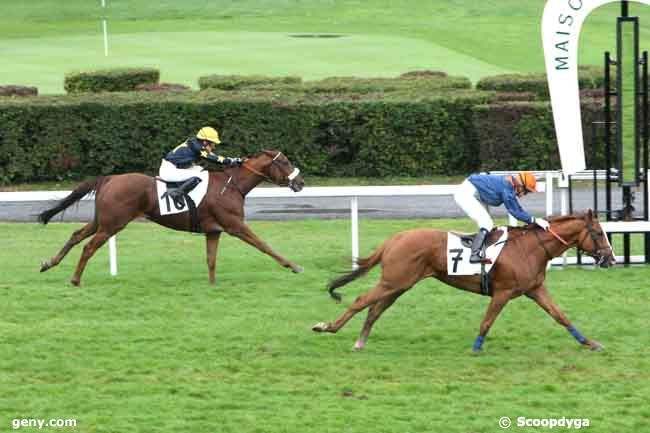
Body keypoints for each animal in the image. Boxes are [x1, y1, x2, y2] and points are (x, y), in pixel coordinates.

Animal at [37, 150, 304, 286]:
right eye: (285, 161)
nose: (300, 182)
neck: (232, 185)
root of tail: (109, 178)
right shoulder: (235, 225)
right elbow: (264, 245)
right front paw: (293, 265)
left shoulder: (213, 230)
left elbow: (211, 259)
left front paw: (212, 285)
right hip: (113, 224)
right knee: (88, 247)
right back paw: (75, 279)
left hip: (101, 221)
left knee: (76, 236)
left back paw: (49, 263)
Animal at [312, 211, 612, 352]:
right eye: (598, 232)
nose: (610, 259)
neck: (530, 248)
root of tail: (394, 239)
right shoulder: (503, 292)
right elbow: (488, 320)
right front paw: (477, 346)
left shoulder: (535, 289)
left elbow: (560, 316)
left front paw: (589, 342)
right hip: (393, 282)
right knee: (361, 301)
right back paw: (327, 327)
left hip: (400, 285)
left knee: (375, 309)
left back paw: (360, 341)